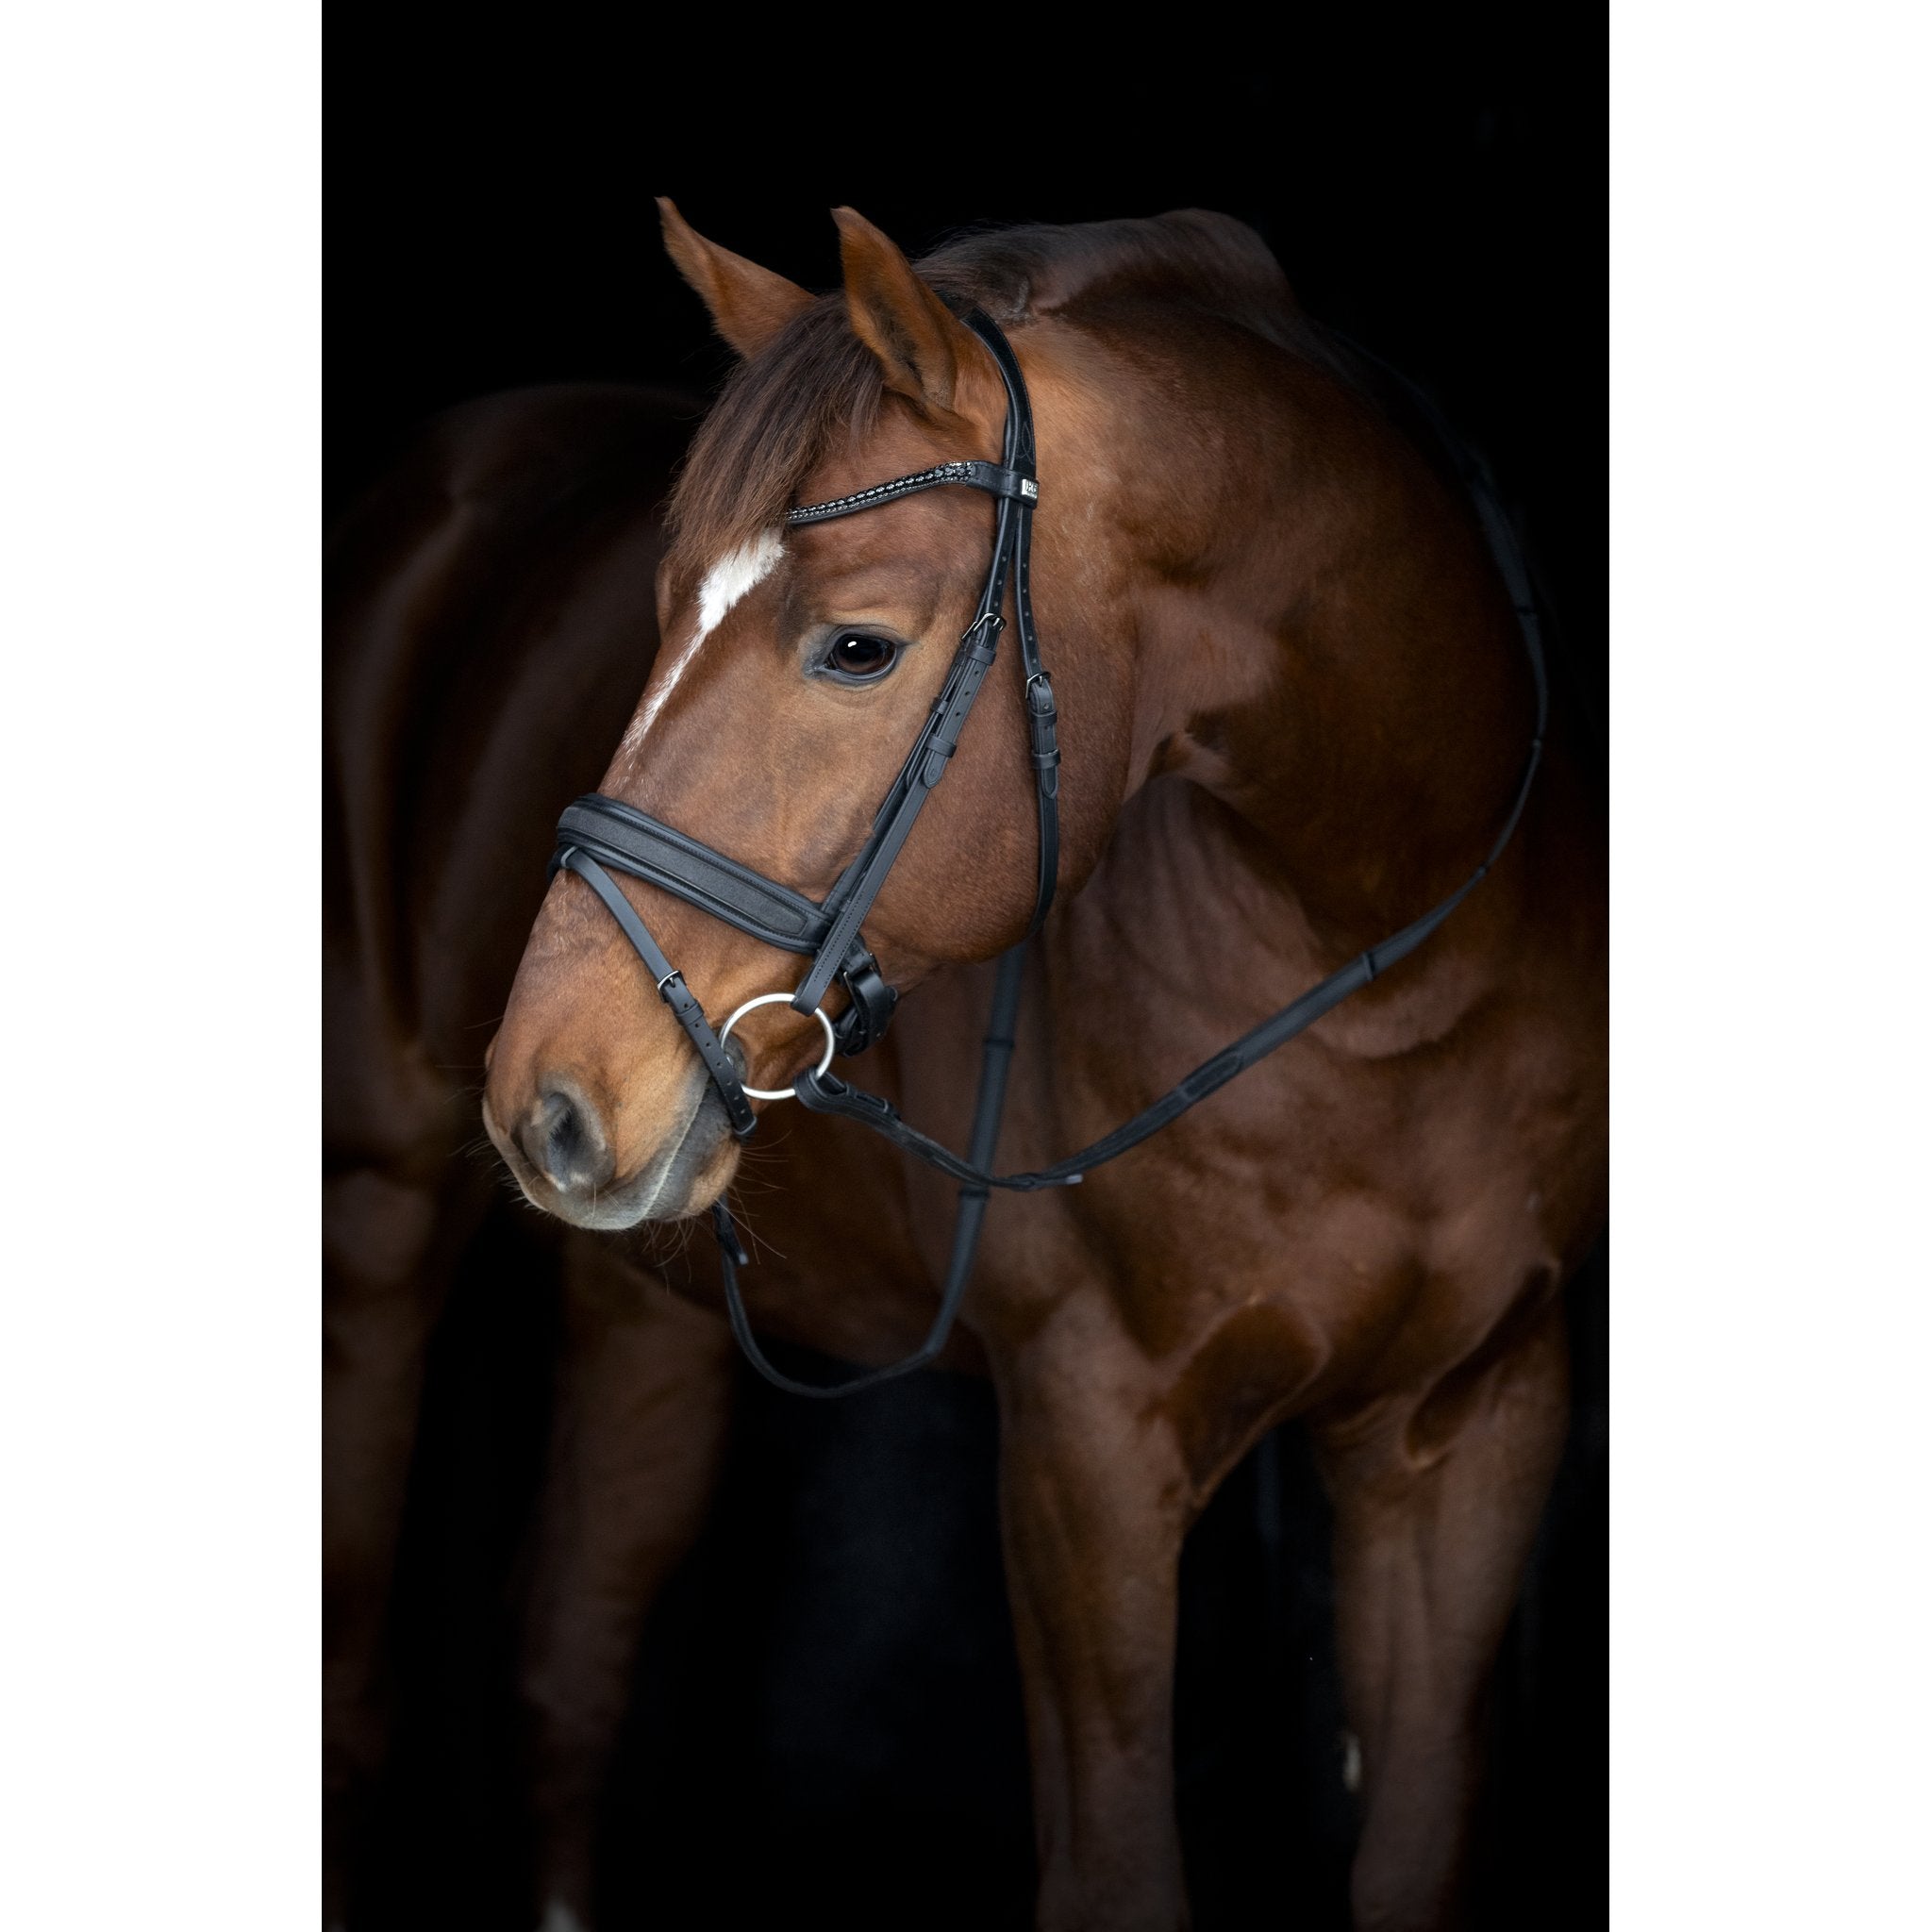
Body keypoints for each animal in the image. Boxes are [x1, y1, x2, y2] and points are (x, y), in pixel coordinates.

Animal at [473, 201, 1606, 1930]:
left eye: (856, 646)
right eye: (663, 608)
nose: (544, 1094)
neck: (1384, 973)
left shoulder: (1476, 1424)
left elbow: (1413, 1854)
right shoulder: (1086, 1447)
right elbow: (1115, 1874)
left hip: (637, 1310)